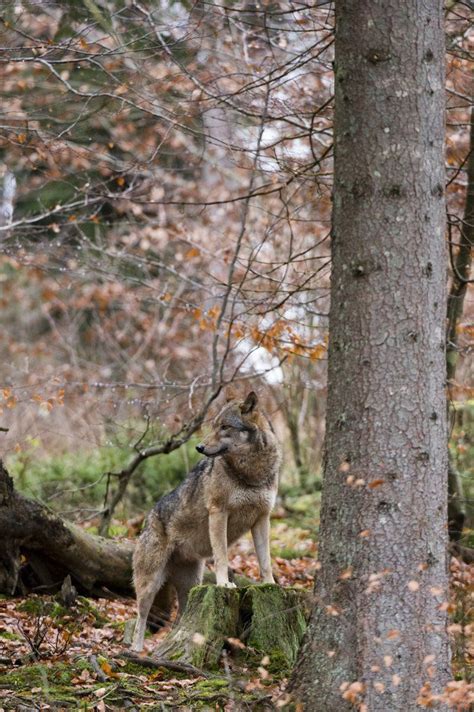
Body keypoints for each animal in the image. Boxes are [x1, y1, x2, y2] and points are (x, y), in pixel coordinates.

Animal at [131, 392, 282, 652]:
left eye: (225, 427)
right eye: (213, 426)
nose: (199, 447)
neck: (251, 472)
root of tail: (147, 520)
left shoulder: (262, 518)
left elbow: (266, 561)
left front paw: (269, 585)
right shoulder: (219, 513)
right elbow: (221, 556)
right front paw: (224, 584)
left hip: (191, 584)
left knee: (179, 620)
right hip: (150, 584)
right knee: (140, 617)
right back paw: (137, 651)